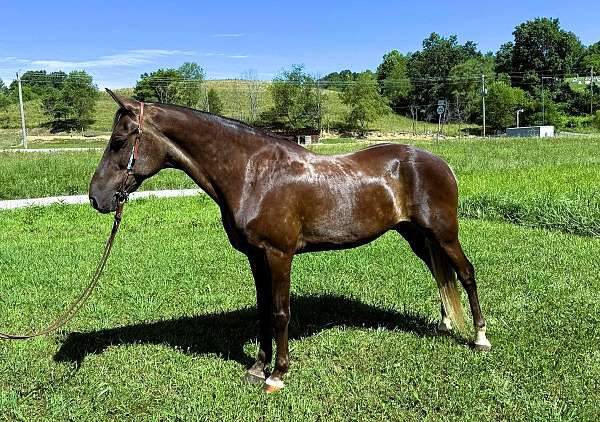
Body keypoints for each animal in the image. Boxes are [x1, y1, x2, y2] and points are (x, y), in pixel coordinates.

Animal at [90, 90, 492, 394]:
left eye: (119, 141)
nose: (96, 198)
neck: (254, 174)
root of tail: (437, 161)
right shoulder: (255, 257)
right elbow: (263, 310)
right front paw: (257, 367)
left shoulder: (279, 255)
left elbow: (281, 312)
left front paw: (278, 375)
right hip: (416, 236)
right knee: (441, 274)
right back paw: (445, 324)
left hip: (444, 234)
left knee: (466, 273)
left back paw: (479, 338)